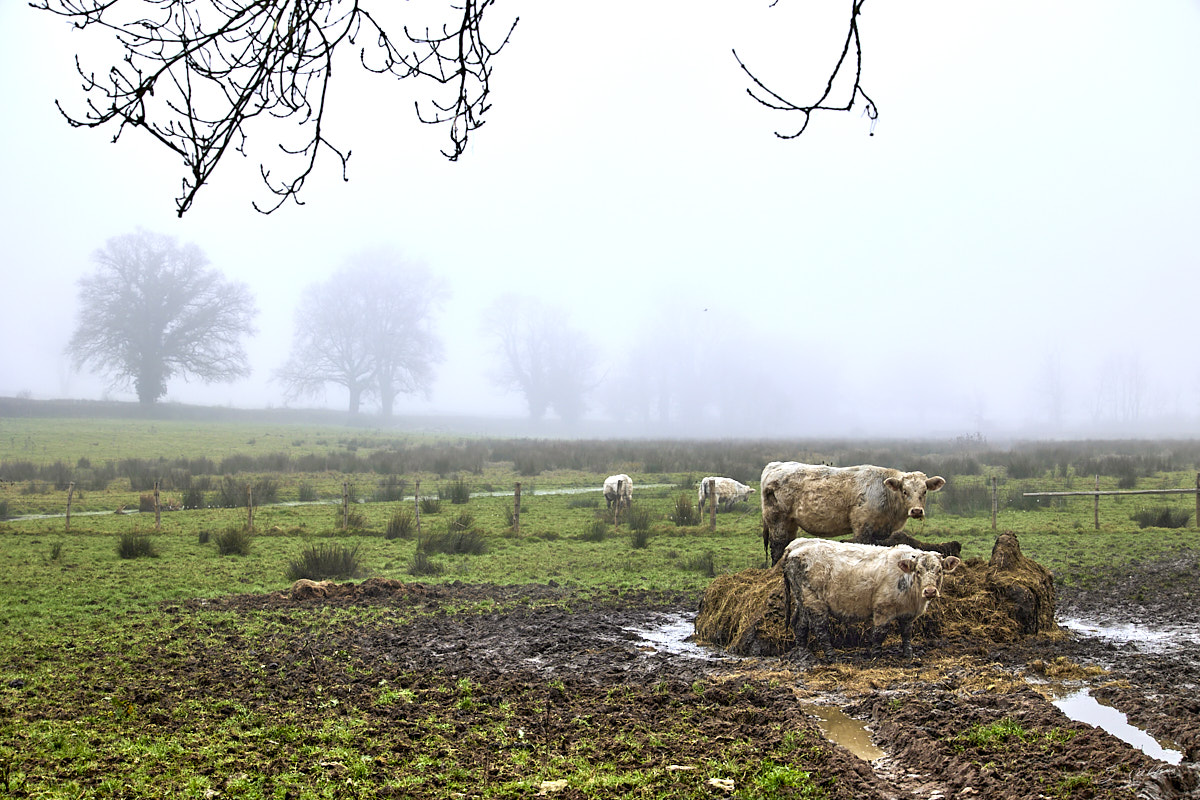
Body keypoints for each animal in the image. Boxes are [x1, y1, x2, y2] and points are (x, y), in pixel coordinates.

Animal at [758, 460, 945, 566]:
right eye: (904, 491)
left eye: (925, 491)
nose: (916, 511)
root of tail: (774, 466)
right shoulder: (862, 526)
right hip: (777, 520)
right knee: (777, 546)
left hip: (790, 522)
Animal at [782, 537, 960, 662]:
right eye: (918, 571)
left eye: (939, 571)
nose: (930, 591)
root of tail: (796, 544)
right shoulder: (883, 609)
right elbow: (879, 633)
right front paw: (875, 655)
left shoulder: (907, 614)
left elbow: (906, 633)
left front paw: (908, 654)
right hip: (814, 602)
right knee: (820, 630)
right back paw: (831, 656)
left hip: (802, 599)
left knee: (799, 624)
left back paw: (803, 654)